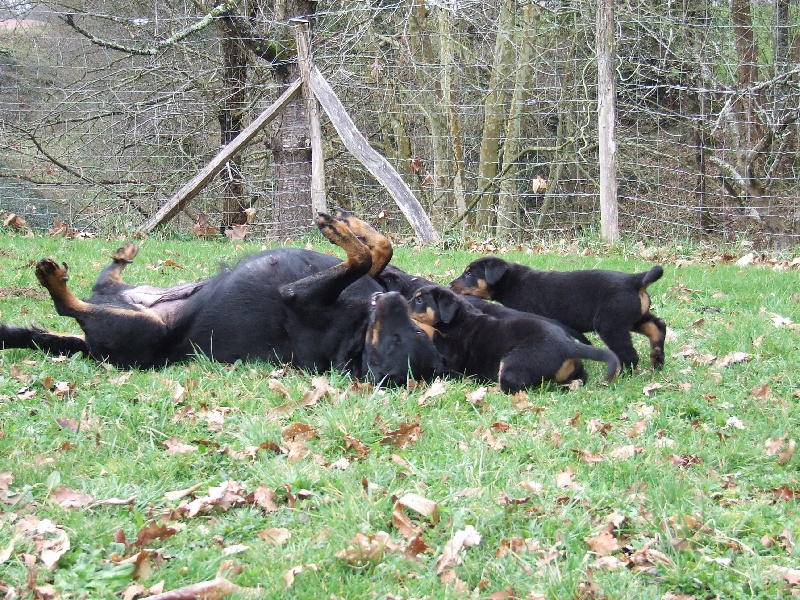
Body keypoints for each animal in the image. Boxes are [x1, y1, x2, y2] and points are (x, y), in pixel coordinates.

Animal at [0, 213, 440, 386]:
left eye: (400, 340)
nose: (390, 300)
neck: (358, 329)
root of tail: (88, 348)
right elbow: (379, 250)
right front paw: (351, 224)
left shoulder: (300, 295)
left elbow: (362, 256)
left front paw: (340, 229)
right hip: (130, 295)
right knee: (105, 281)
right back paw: (122, 254)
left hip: (142, 330)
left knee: (70, 306)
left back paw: (53, 279)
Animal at [406, 284, 620, 394]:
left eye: (419, 300)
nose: (402, 301)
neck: (457, 320)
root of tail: (565, 344)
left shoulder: (449, 359)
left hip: (513, 363)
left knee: (512, 387)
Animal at [450, 256, 668, 372]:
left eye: (469, 273)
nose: (451, 284)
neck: (512, 281)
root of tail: (634, 280)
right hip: (634, 317)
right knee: (657, 327)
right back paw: (657, 359)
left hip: (611, 324)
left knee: (629, 353)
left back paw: (622, 375)